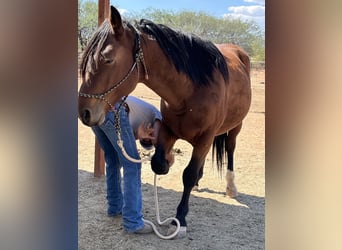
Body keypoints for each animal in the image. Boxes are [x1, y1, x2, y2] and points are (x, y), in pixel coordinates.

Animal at [79, 5, 252, 236]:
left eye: (107, 59)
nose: (84, 112)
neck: (191, 91)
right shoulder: (168, 130)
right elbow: (158, 164)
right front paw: (169, 165)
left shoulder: (205, 137)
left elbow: (188, 174)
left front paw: (180, 219)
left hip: (235, 127)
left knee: (230, 150)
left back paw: (231, 187)